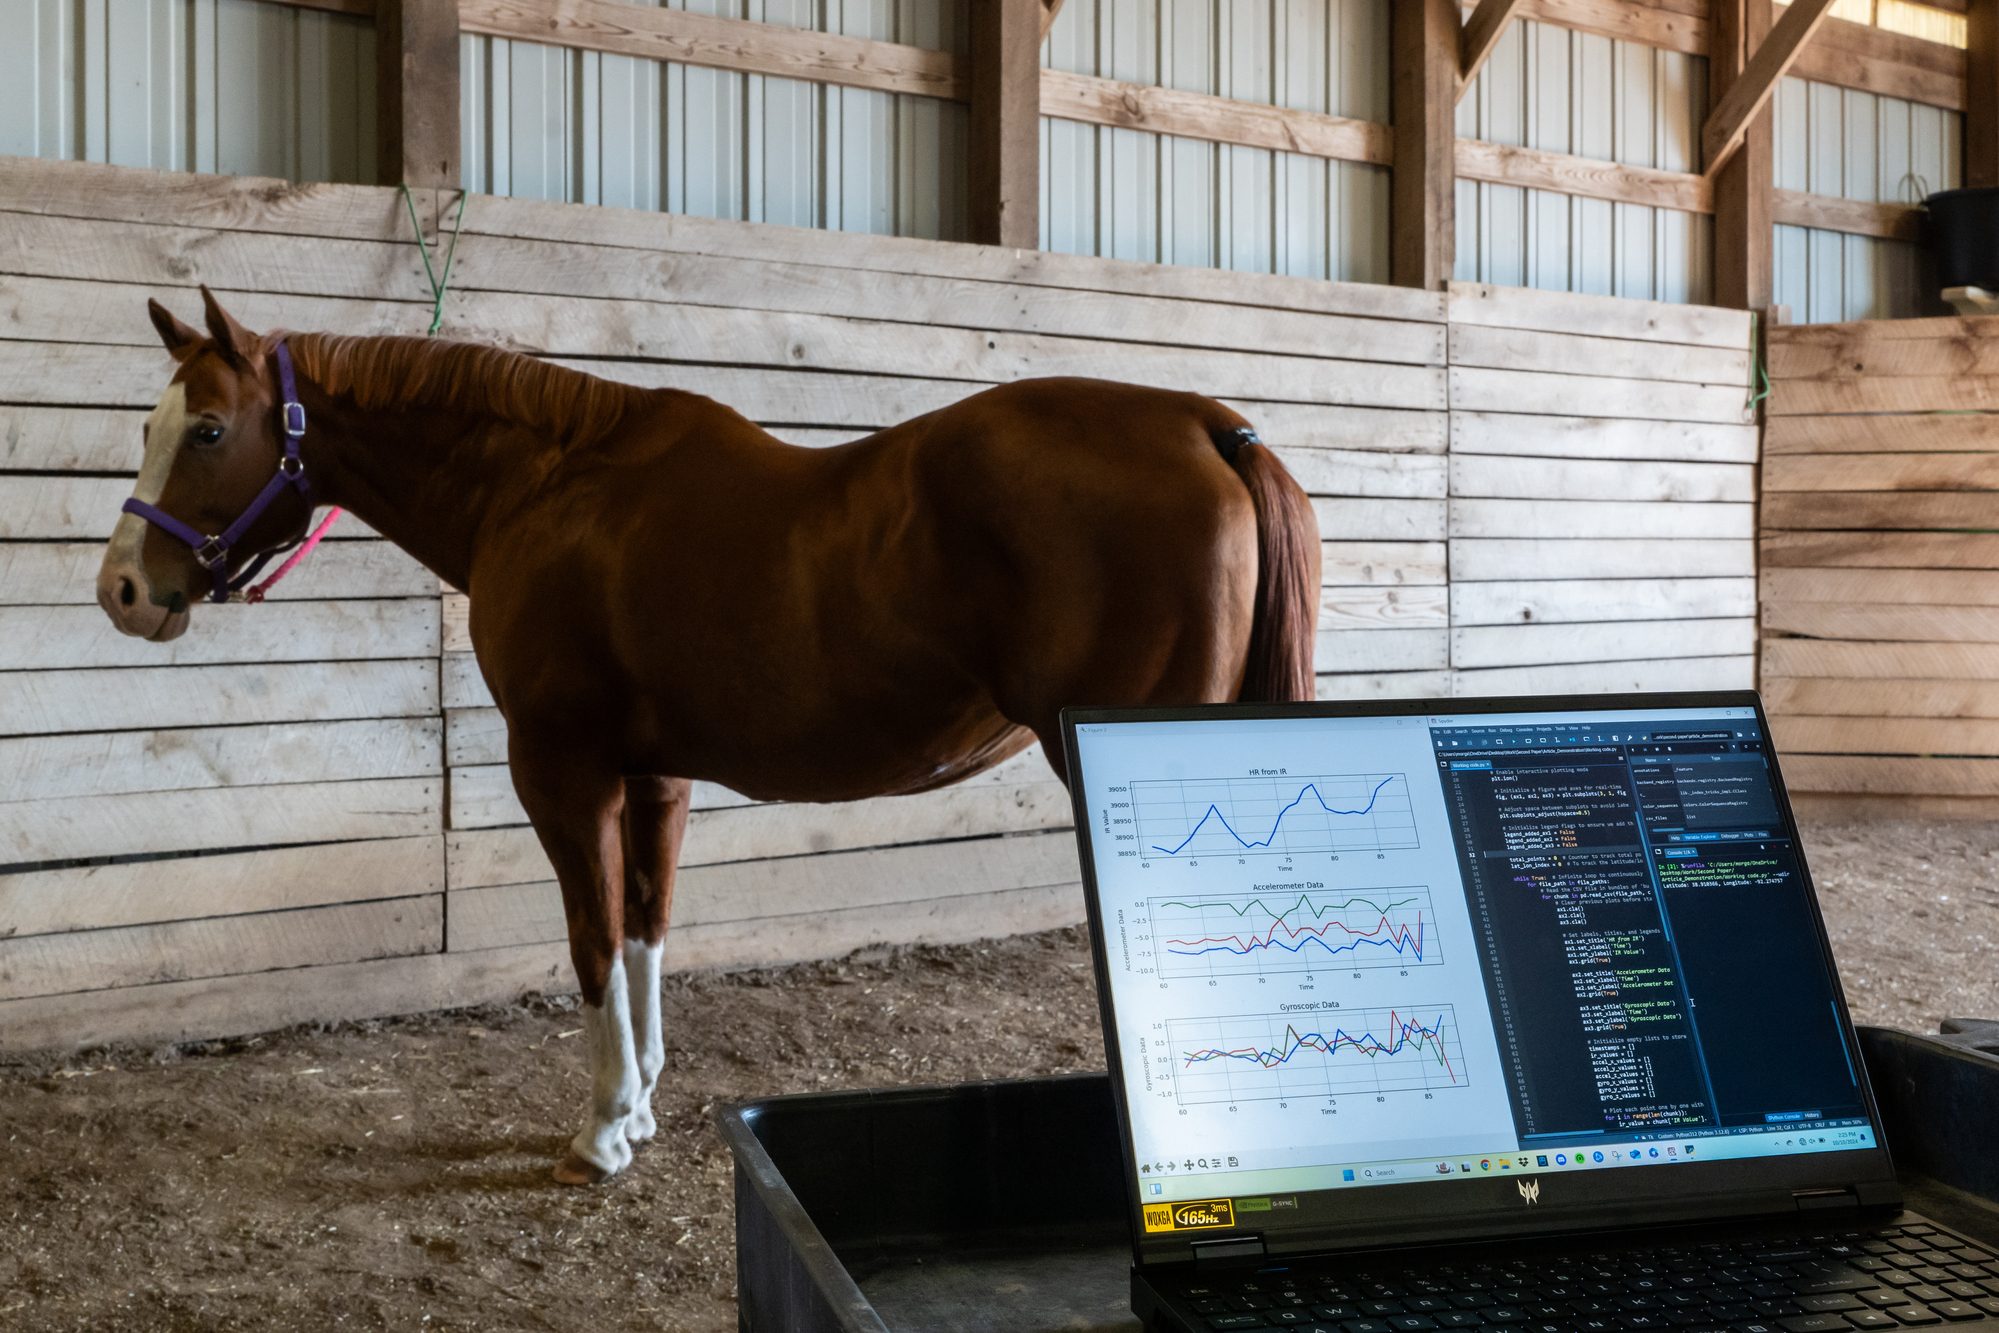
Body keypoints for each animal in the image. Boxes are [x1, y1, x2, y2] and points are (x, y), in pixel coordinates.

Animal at [93, 293, 1319, 1191]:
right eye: (147, 425)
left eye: (208, 428)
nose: (122, 591)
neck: (547, 486)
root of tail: (1208, 425)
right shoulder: (655, 774)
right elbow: (646, 927)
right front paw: (638, 1101)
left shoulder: (563, 769)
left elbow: (591, 940)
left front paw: (597, 1135)